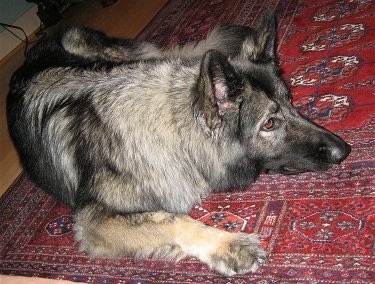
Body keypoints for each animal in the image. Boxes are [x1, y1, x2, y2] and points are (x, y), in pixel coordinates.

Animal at [6, 12, 352, 276]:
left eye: (291, 102)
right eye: (269, 123)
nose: (344, 150)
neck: (175, 134)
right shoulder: (93, 221)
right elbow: (171, 219)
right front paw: (228, 245)